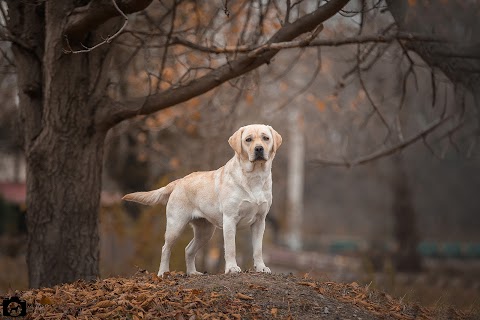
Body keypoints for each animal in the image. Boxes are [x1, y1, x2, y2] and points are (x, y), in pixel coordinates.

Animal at [123, 124, 282, 276]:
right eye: (248, 139)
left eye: (266, 138)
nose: (259, 148)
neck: (255, 176)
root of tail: (179, 181)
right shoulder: (230, 219)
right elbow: (231, 248)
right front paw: (232, 268)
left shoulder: (260, 221)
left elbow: (258, 249)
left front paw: (261, 268)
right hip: (176, 226)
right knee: (165, 248)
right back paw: (163, 272)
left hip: (205, 232)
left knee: (188, 249)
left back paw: (192, 272)